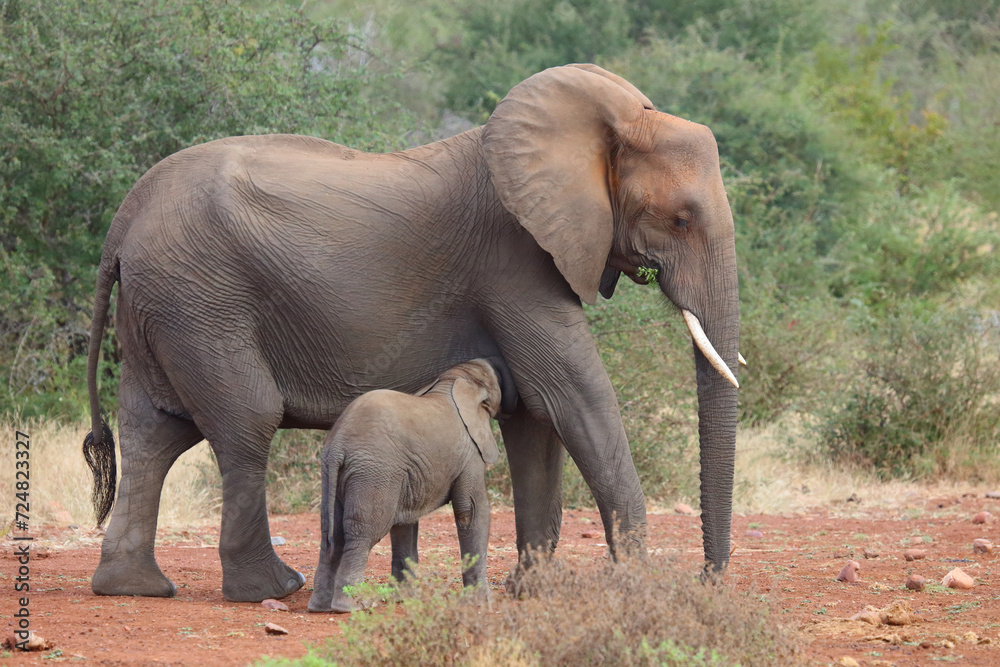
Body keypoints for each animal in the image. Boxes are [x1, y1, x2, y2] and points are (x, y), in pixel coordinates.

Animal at [307, 359, 501, 614]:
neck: (455, 379)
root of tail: (338, 444)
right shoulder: (469, 452)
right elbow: (470, 512)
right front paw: (481, 601)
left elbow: (405, 522)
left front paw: (404, 598)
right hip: (374, 471)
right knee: (362, 532)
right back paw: (350, 606)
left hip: (336, 474)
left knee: (332, 533)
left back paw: (319, 607)